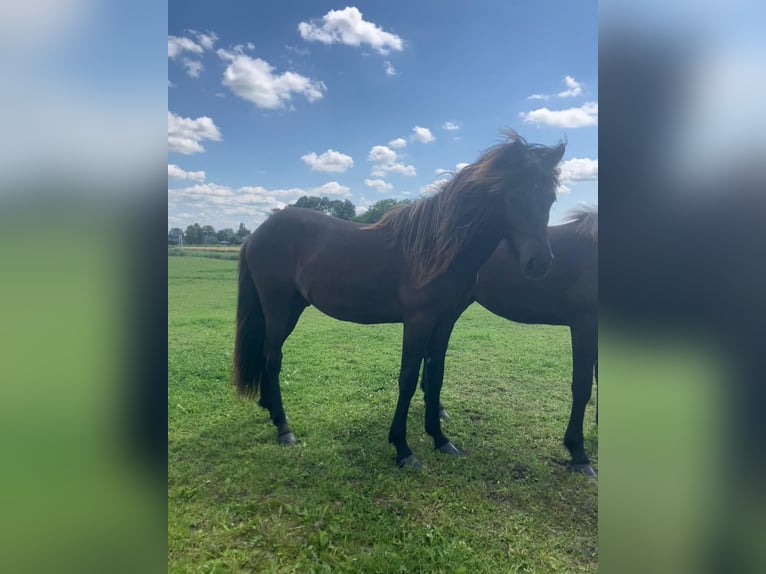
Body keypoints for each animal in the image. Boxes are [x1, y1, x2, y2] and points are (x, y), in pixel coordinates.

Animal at [232, 133, 564, 470]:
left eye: (549, 199)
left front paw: (440, 438)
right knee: (273, 358)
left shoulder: (444, 322)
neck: (436, 249)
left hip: (292, 309)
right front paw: (403, 448)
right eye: (513, 196)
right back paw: (283, 428)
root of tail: (257, 234)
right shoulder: (418, 321)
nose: (540, 263)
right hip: (277, 306)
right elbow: (407, 379)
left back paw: (268, 408)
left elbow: (435, 376)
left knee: (267, 353)